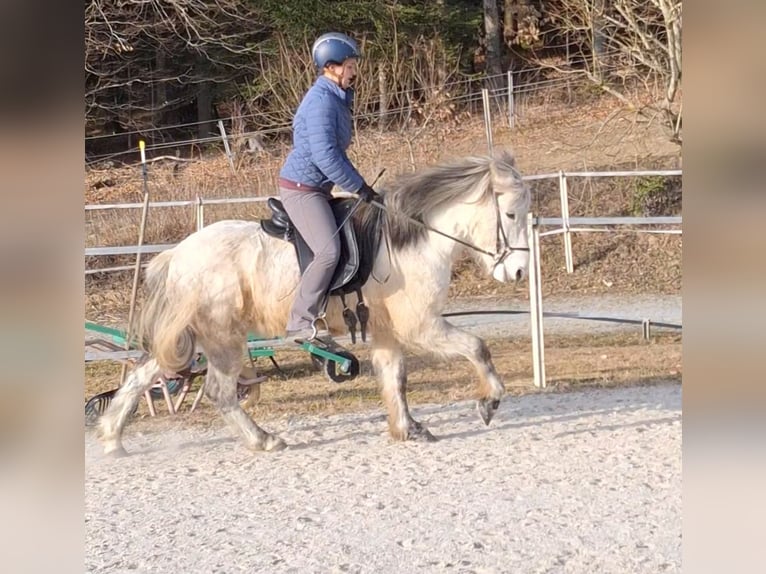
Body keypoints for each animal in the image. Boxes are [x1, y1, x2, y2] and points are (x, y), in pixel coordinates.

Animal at [98, 149, 531, 455]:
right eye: (510, 214)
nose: (519, 273)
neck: (409, 237)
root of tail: (177, 255)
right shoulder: (421, 325)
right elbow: (477, 347)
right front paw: (489, 401)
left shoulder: (388, 331)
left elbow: (394, 377)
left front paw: (408, 428)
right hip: (223, 337)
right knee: (220, 392)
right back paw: (263, 440)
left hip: (188, 335)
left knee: (141, 374)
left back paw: (112, 438)